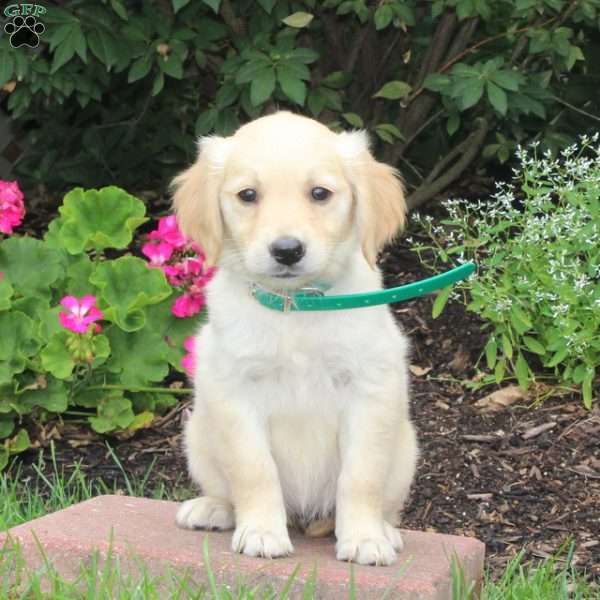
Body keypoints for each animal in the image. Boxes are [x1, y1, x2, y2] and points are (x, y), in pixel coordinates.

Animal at [172, 112, 418, 568]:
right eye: (247, 195)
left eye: (319, 193)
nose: (287, 250)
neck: (296, 306)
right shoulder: (233, 393)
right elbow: (254, 469)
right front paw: (262, 533)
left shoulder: (370, 390)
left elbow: (360, 475)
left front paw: (364, 539)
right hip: (197, 434)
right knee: (224, 488)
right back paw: (213, 509)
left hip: (406, 449)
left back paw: (385, 530)